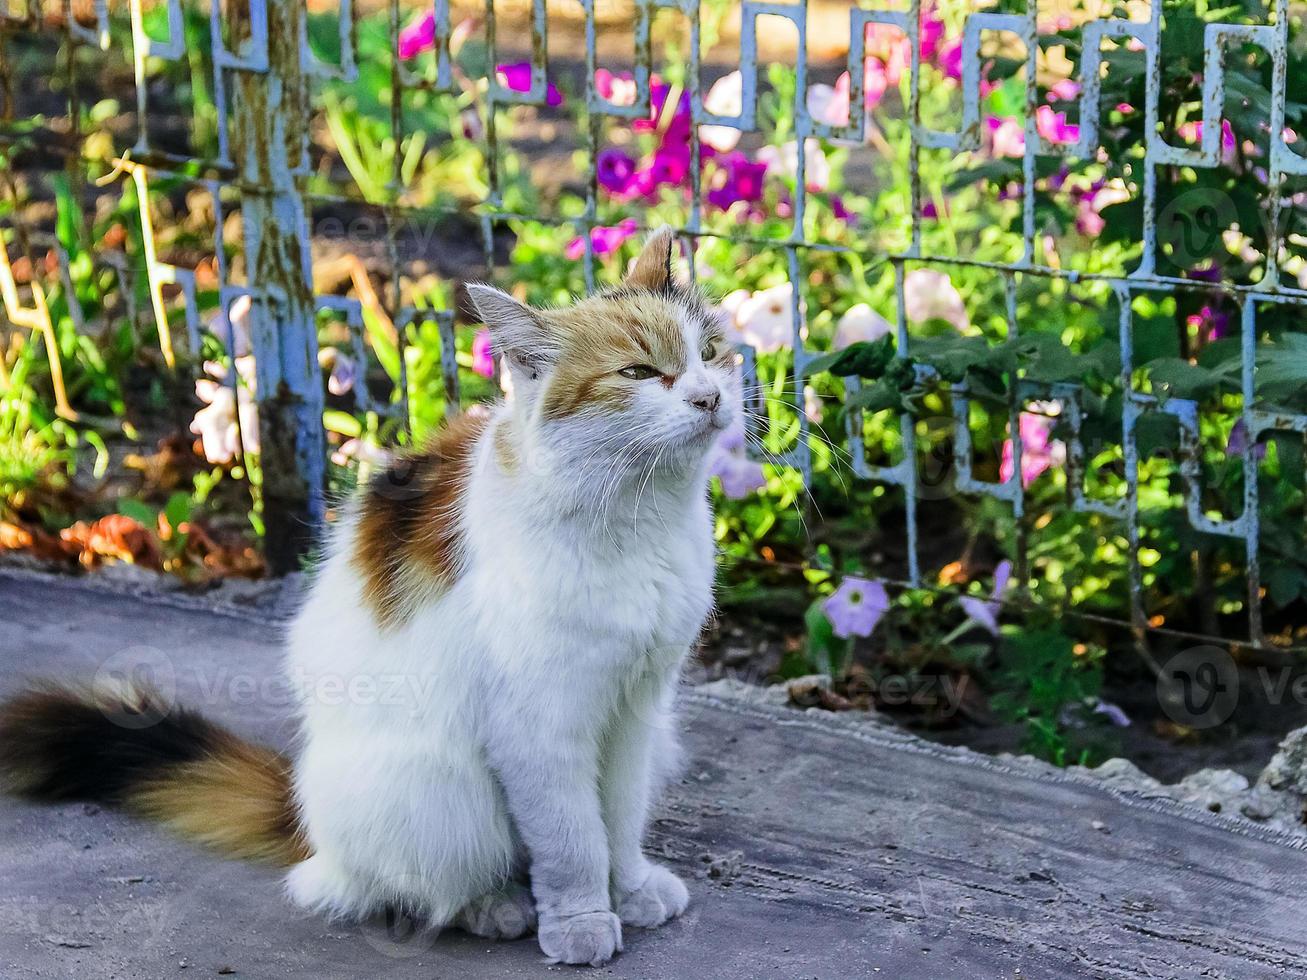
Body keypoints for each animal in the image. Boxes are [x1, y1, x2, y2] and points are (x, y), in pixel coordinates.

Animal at [0, 228, 737, 966]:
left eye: (708, 353)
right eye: (638, 374)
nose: (708, 398)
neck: (639, 518)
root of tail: (307, 821)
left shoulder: (635, 707)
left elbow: (619, 820)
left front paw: (629, 889)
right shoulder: (540, 726)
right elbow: (572, 839)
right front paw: (581, 919)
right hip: (442, 794)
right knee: (405, 883)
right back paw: (494, 906)